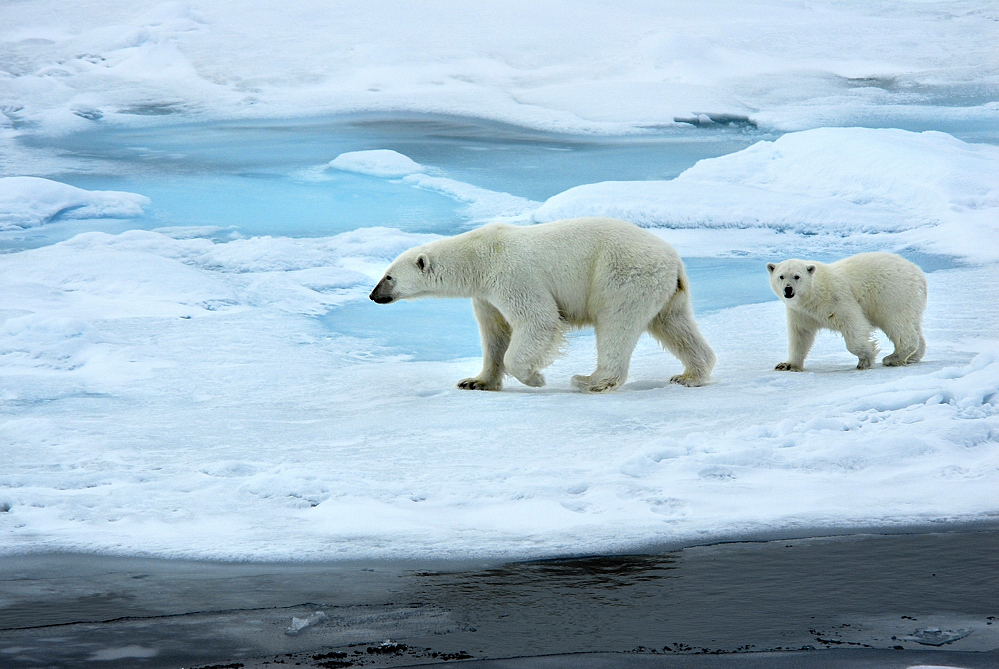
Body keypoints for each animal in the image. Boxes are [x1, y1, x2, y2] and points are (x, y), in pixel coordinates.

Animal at [372, 217, 716, 388]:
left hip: (621, 275)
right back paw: (689, 375)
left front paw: (535, 378)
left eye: (389, 277)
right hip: (665, 290)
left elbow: (538, 320)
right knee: (675, 325)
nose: (373, 295)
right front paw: (475, 381)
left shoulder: (513, 274)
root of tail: (674, 259)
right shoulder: (486, 295)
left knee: (616, 324)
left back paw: (590, 381)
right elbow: (494, 333)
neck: (479, 256)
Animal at [764, 253, 928, 374]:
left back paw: (893, 358)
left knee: (896, 323)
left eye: (797, 276)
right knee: (913, 325)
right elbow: (800, 335)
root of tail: (918, 273)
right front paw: (787, 365)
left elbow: (854, 324)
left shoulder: (836, 299)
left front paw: (866, 358)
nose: (788, 289)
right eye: (781, 276)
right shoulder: (800, 312)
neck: (813, 296)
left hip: (891, 293)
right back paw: (912, 357)